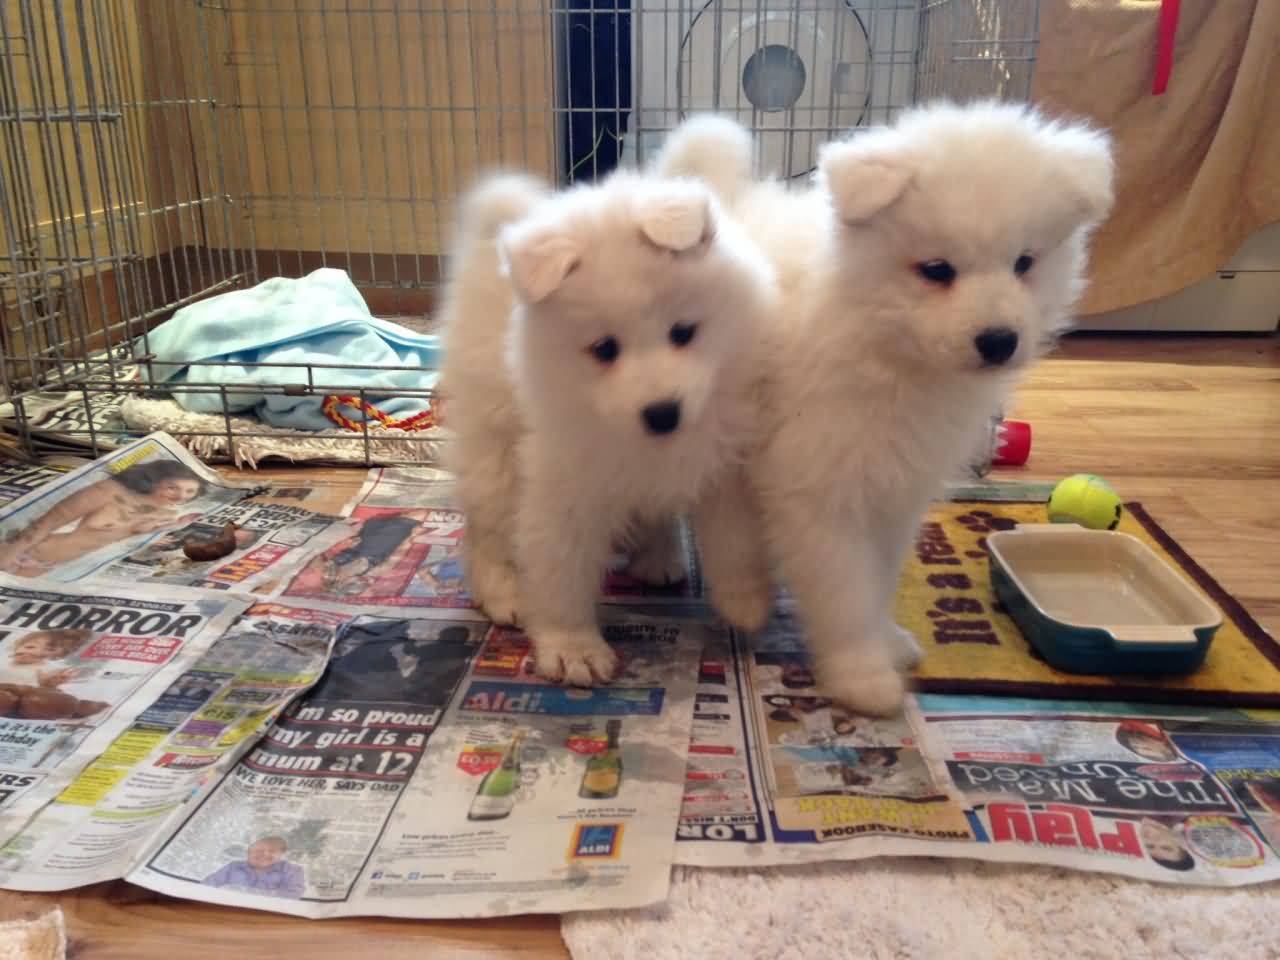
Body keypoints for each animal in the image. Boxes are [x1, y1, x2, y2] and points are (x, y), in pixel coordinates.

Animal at [440, 168, 773, 686]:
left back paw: (658, 557)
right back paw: (503, 591)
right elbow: (560, 567)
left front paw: (746, 601)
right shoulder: (563, 483)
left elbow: (735, 537)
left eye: (684, 332)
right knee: (488, 523)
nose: (663, 412)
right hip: (493, 434)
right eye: (604, 349)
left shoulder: (723, 460)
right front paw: (571, 648)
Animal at [660, 104, 1111, 716]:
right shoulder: (822, 481)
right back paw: (741, 594)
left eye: (1025, 262)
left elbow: (876, 580)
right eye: (937, 269)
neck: (883, 347)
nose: (999, 341)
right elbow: (844, 588)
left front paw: (885, 640)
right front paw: (862, 673)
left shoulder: (895, 485)